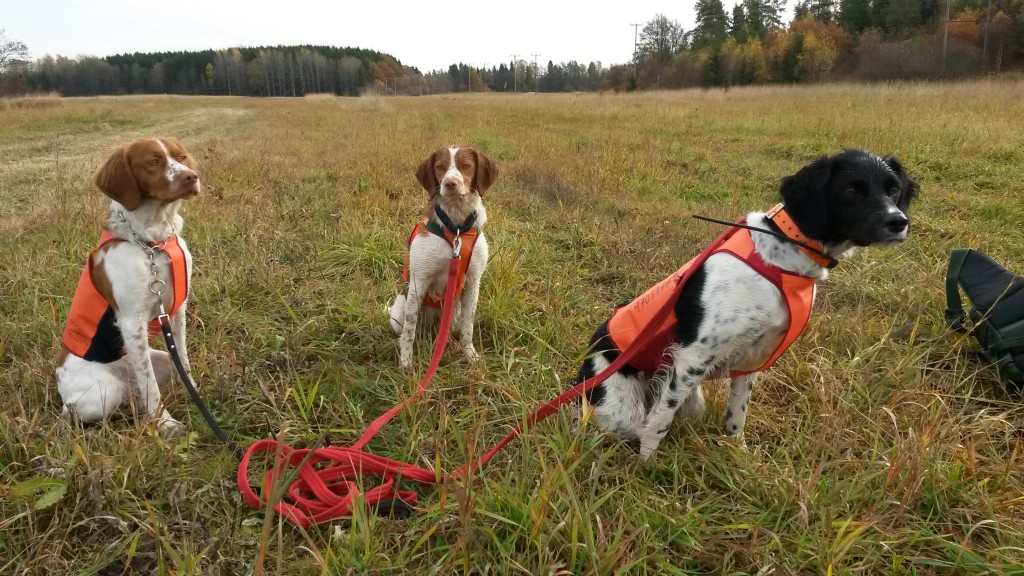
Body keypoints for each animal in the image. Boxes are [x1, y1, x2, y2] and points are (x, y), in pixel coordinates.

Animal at [55, 138, 199, 434]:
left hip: (161, 363)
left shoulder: (177, 311)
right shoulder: (132, 322)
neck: (153, 243)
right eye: (153, 161)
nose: (192, 177)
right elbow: (150, 387)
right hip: (104, 393)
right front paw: (165, 424)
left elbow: (183, 361)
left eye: (181, 157)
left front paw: (196, 393)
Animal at [389, 144, 497, 366]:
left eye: (466, 165)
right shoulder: (419, 281)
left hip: (453, 313)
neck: (456, 230)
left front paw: (470, 354)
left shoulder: (473, 281)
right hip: (398, 312)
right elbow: (409, 331)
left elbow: (468, 327)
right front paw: (406, 362)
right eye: (440, 167)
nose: (450, 183)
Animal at [577, 147, 921, 457]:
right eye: (850, 190)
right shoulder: (693, 357)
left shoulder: (751, 359)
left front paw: (738, 455)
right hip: (622, 409)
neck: (784, 254)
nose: (899, 222)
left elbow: (736, 417)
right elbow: (658, 424)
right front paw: (647, 465)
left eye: (893, 189)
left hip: (693, 401)